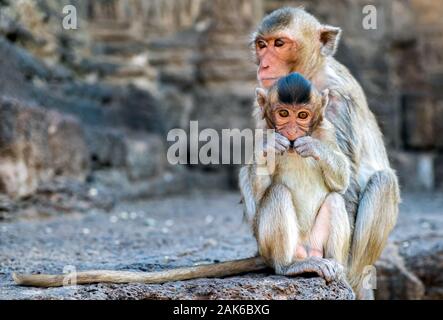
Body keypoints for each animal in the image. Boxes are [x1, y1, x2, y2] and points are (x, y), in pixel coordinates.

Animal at [243, 72, 354, 280]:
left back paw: (336, 264)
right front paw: (269, 147)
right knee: (278, 192)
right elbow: (258, 194)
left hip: (316, 242)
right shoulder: (261, 132)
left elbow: (341, 183)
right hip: (268, 247)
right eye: (283, 113)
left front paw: (313, 146)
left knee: (335, 199)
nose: (293, 131)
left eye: (302, 115)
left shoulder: (327, 130)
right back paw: (288, 266)